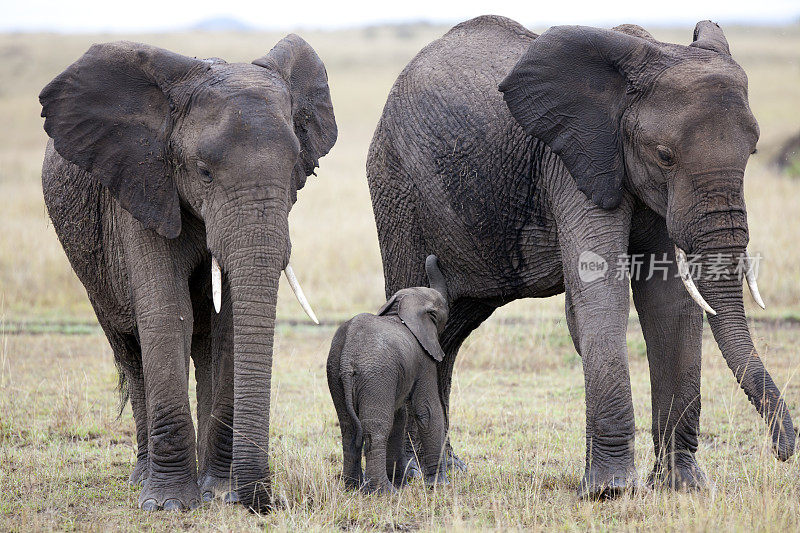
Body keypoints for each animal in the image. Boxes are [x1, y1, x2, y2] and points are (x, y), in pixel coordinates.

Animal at [39, 35, 334, 510]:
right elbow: (165, 313)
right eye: (204, 172)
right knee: (130, 351)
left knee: (205, 345)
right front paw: (167, 505)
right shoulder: (142, 185)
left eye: (296, 169)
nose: (264, 502)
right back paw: (142, 478)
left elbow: (228, 324)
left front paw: (222, 493)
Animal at [326, 256, 450, 492]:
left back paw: (352, 487)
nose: (434, 258)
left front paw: (402, 482)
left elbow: (399, 416)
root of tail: (347, 358)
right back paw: (383, 491)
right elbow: (427, 410)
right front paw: (438, 484)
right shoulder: (424, 358)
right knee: (375, 430)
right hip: (375, 374)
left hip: (336, 373)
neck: (400, 309)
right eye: (441, 311)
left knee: (348, 428)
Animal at [368, 16, 792, 498]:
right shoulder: (573, 162)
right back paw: (410, 475)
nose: (783, 450)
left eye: (752, 151)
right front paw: (612, 490)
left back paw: (449, 470)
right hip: (397, 190)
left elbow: (670, 302)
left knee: (449, 328)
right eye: (665, 155)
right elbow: (602, 293)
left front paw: (682, 486)